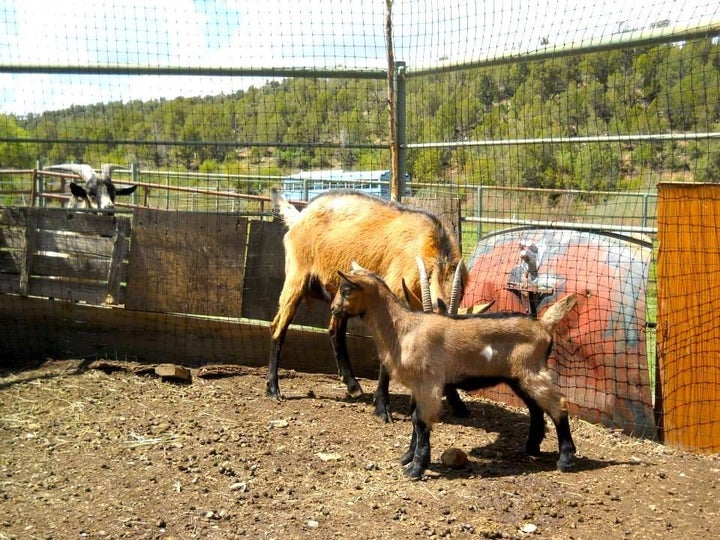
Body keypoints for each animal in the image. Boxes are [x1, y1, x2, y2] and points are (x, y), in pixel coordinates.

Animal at [268, 190, 466, 422]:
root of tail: (301, 215)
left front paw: (457, 403)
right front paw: (382, 408)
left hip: (342, 295)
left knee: (334, 329)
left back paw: (353, 385)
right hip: (296, 278)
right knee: (278, 327)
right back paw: (273, 389)